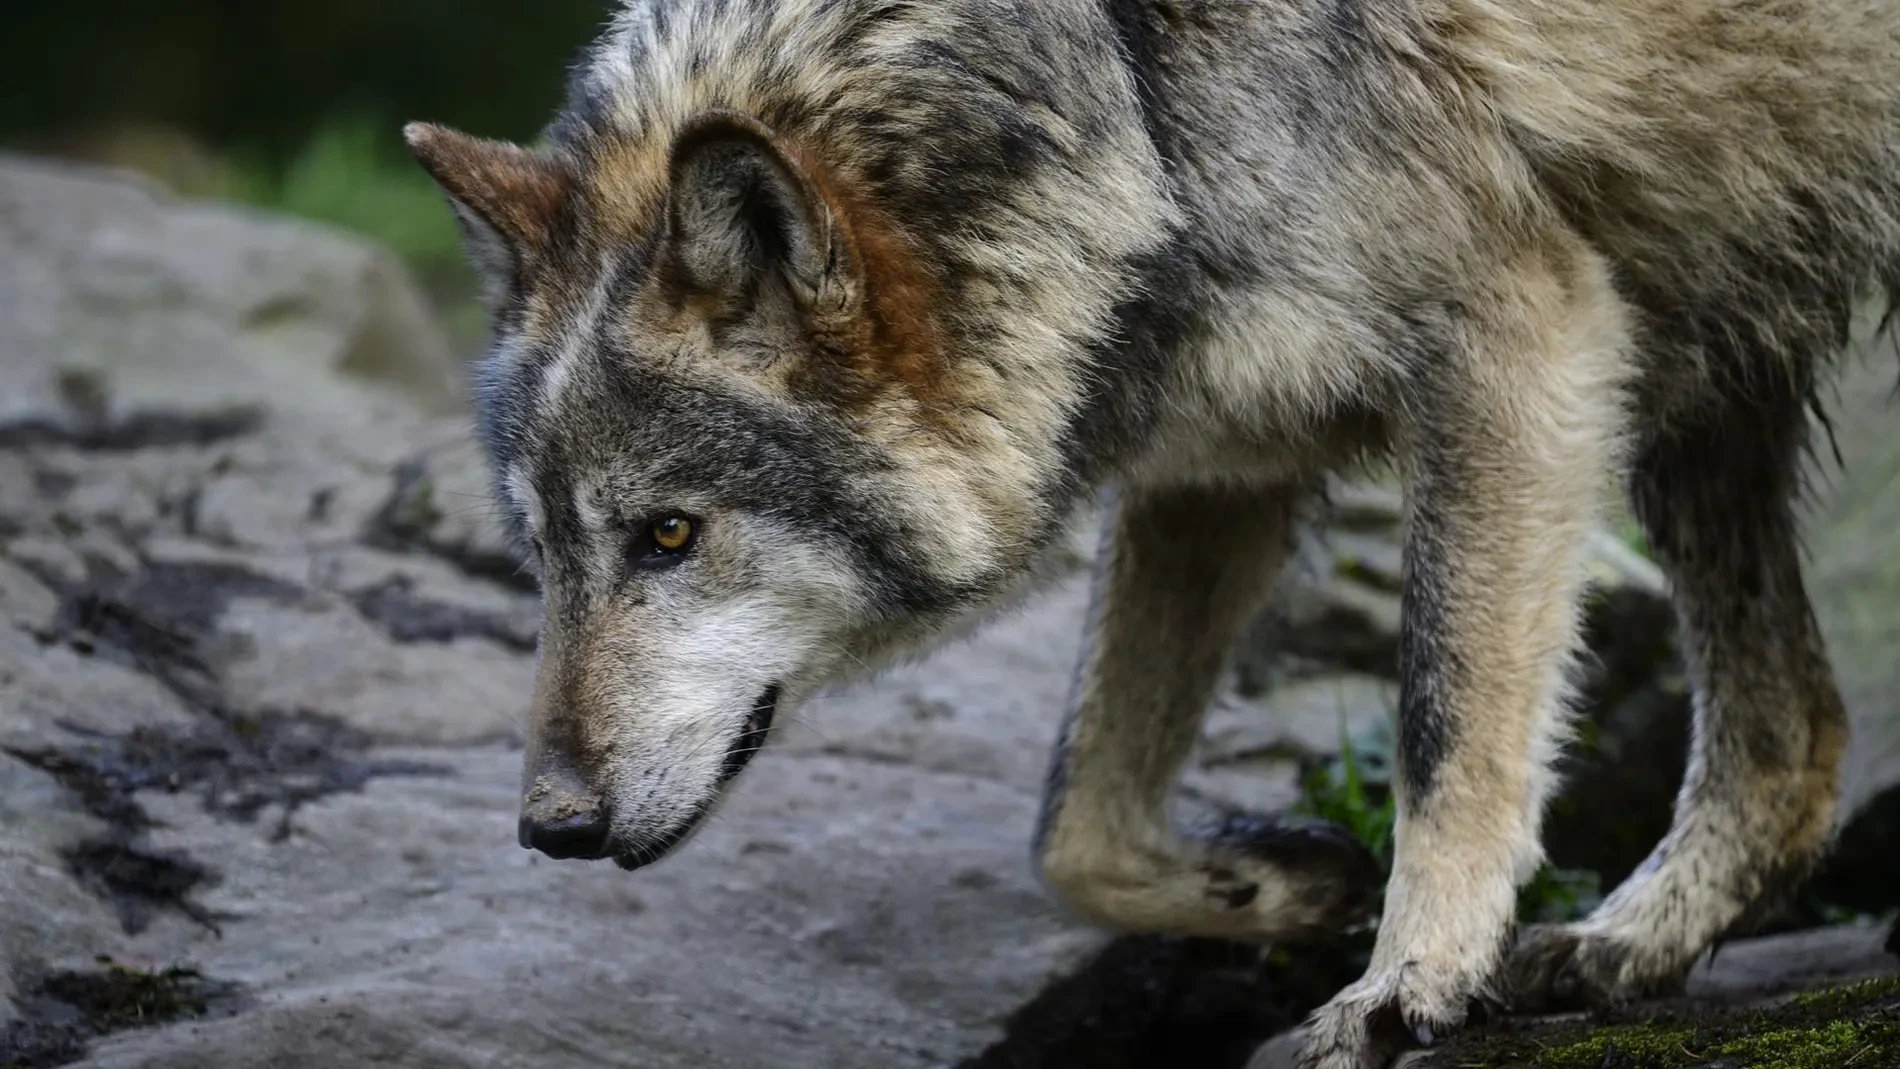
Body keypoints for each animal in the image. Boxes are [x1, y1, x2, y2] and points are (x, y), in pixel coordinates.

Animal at [403, 0, 1900, 1064]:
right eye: (544, 556)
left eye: (666, 535)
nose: (549, 828)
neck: (1133, 91)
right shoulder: (1218, 460)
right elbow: (1075, 827)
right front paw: (1283, 882)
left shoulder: (1519, 347)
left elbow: (1445, 725)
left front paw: (1409, 982)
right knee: (1798, 735)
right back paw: (1624, 947)